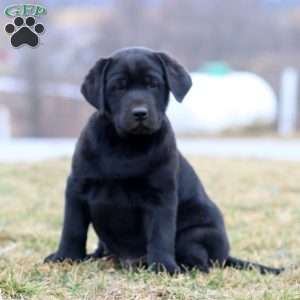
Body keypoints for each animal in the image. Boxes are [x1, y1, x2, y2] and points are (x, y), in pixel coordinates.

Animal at [44, 46, 282, 274]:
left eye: (153, 85)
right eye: (119, 86)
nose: (140, 113)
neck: (125, 144)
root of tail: (225, 256)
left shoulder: (161, 195)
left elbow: (161, 233)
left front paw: (163, 266)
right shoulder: (77, 186)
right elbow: (72, 228)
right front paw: (64, 258)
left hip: (194, 234)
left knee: (201, 263)